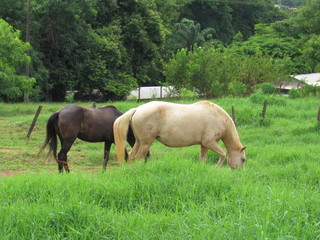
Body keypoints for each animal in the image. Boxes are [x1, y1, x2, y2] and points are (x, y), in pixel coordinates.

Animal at [114, 101, 246, 169]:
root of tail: (138, 109)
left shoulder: (204, 145)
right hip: (146, 143)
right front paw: (217, 167)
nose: (240, 172)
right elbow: (223, 154)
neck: (219, 118)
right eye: (243, 159)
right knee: (140, 157)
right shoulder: (210, 142)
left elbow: (203, 159)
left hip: (139, 142)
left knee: (132, 156)